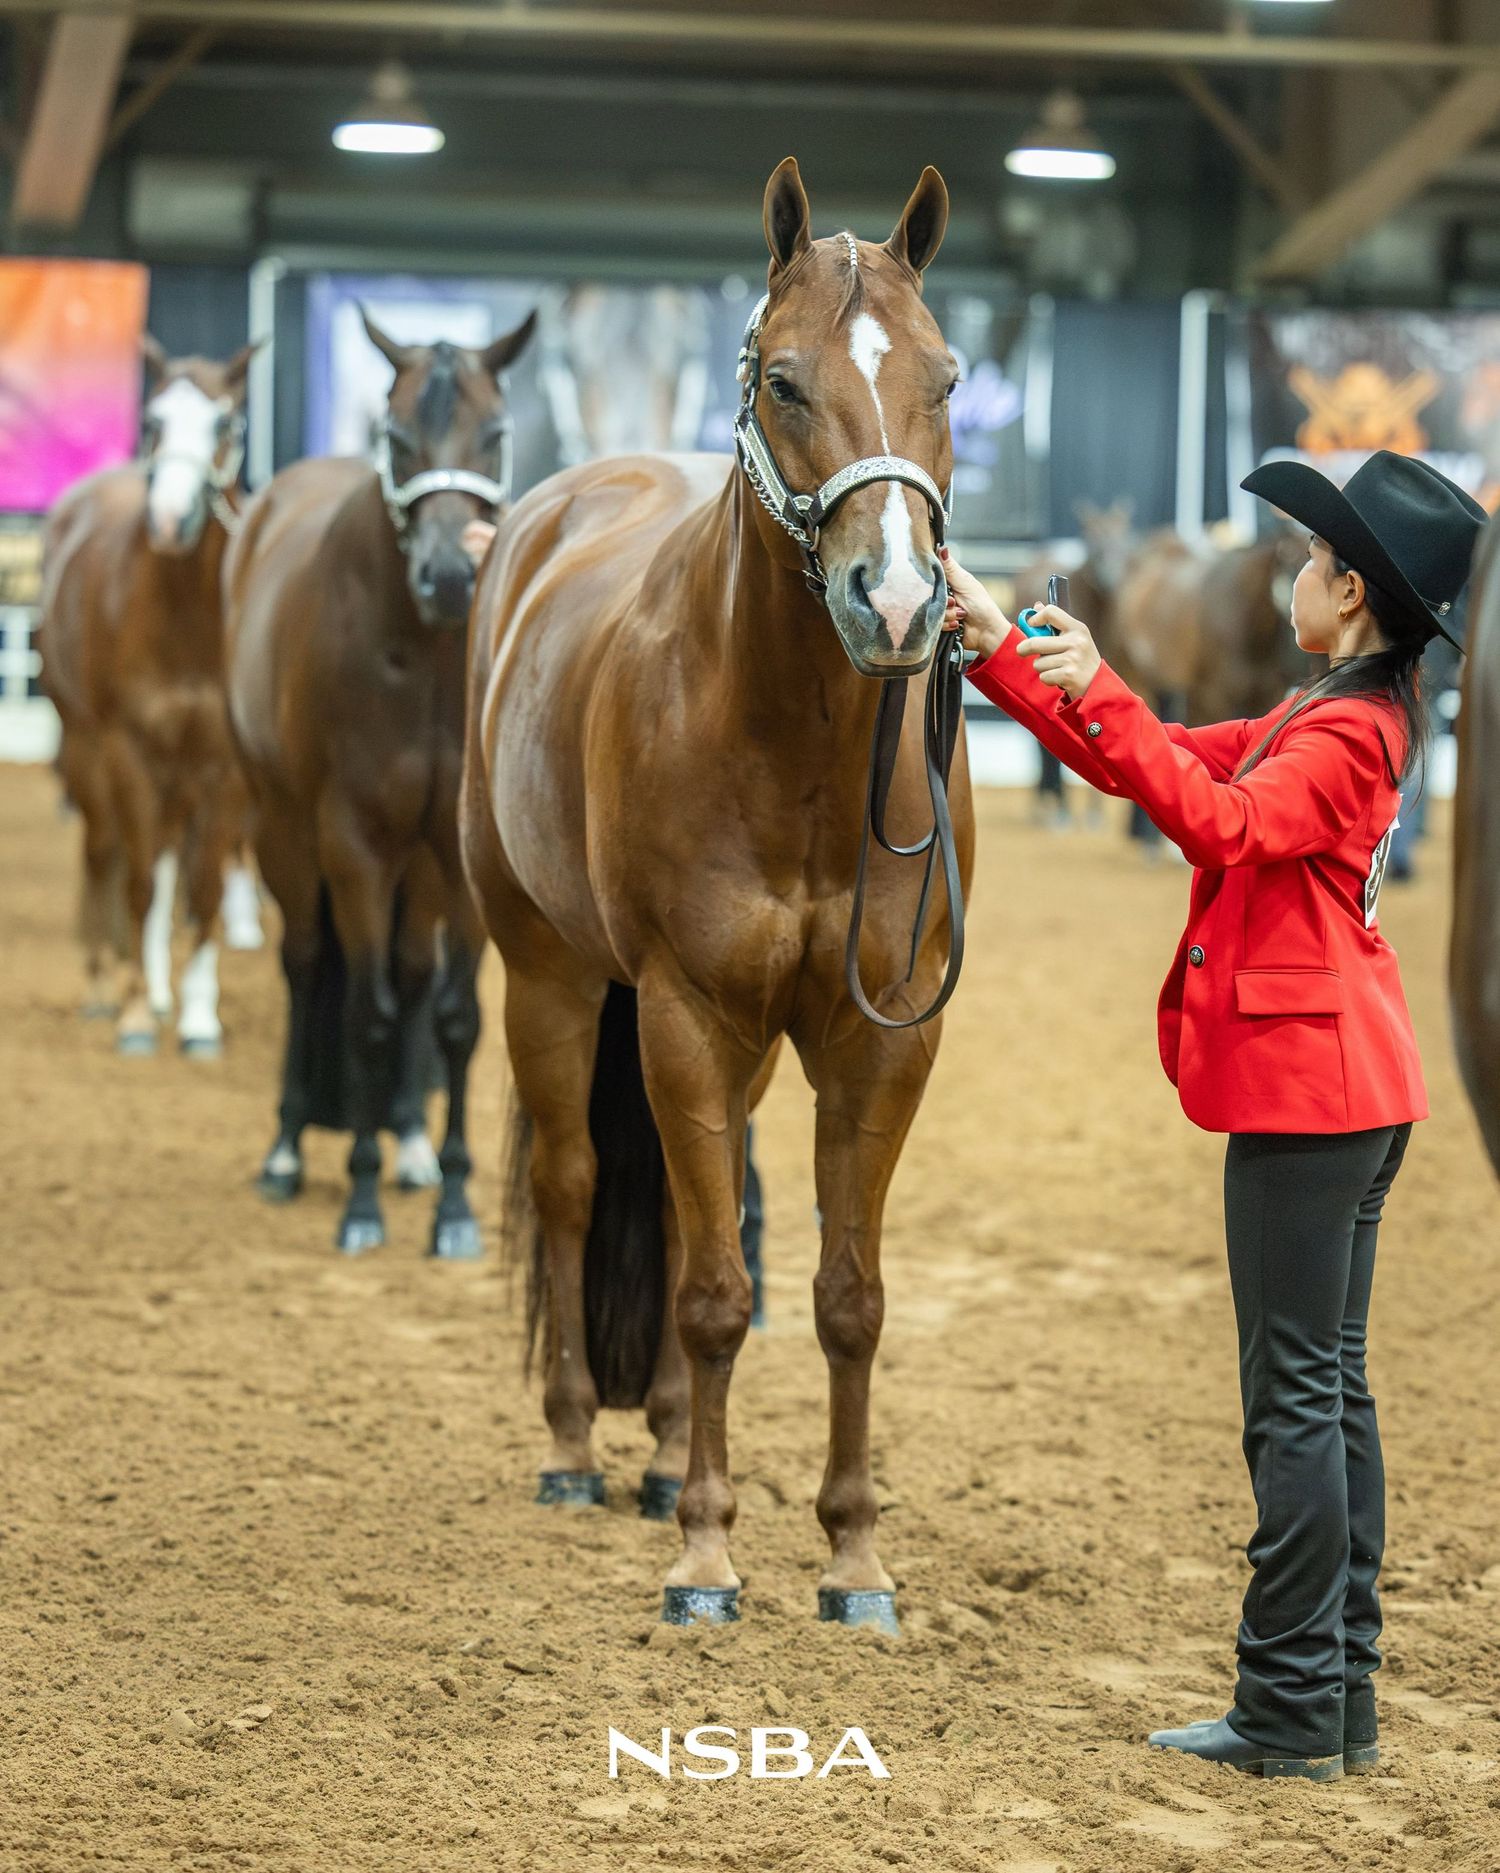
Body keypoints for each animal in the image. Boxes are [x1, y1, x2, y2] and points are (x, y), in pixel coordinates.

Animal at [37, 337, 261, 1055]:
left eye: (225, 423)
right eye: (153, 420)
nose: (169, 520)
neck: (186, 622)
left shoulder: (223, 770)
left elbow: (204, 888)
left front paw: (199, 1019)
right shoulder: (130, 753)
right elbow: (136, 886)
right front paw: (136, 1014)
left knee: (167, 866)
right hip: (87, 752)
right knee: (106, 853)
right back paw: (107, 987)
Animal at [223, 308, 536, 1256]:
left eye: (495, 432)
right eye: (396, 440)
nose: (451, 575)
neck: (425, 659)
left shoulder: (454, 858)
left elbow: (454, 1016)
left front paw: (456, 1207)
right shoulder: (354, 845)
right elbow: (366, 1014)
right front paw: (360, 1204)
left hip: (421, 868)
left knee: (410, 969)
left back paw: (410, 1145)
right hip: (284, 835)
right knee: (304, 964)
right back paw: (289, 1149)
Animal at [461, 158, 971, 1630]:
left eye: (949, 378)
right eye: (784, 381)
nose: (899, 601)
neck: (791, 754)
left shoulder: (881, 1039)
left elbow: (844, 1296)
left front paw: (854, 1559)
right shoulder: (683, 1015)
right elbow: (708, 1295)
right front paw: (704, 1553)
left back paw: (661, 1447)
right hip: (552, 977)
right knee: (575, 1189)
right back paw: (582, 1447)